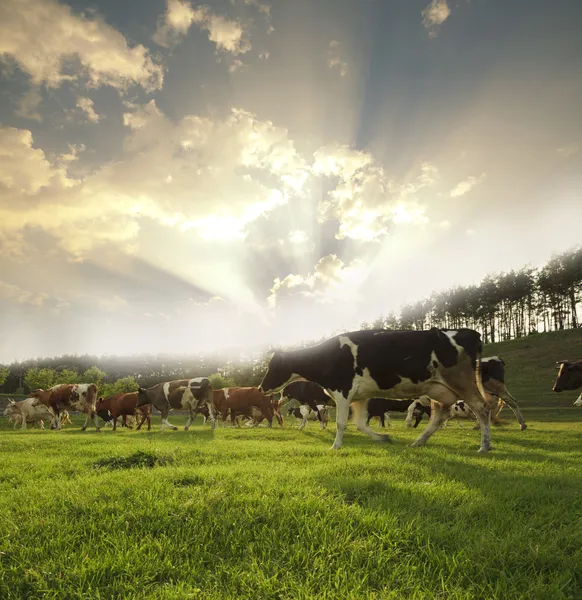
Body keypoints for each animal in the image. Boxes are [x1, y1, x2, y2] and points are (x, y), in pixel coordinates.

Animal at [260, 330, 492, 452]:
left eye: (273, 367)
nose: (261, 388)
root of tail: (471, 332)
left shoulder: (343, 392)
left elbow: (341, 423)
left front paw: (336, 445)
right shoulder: (360, 397)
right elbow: (361, 424)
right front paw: (382, 437)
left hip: (462, 382)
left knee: (482, 408)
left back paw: (485, 446)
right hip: (438, 389)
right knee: (439, 417)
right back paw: (419, 441)